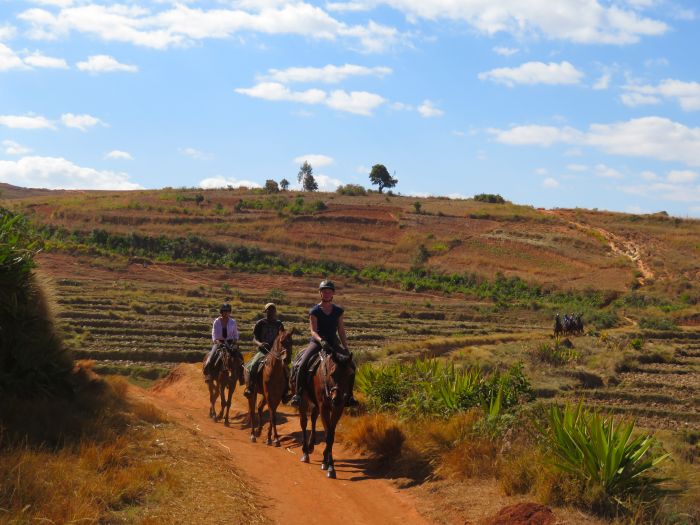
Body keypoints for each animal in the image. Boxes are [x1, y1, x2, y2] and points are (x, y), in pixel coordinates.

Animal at [296, 348, 356, 478]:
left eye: (350, 375)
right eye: (332, 374)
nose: (337, 399)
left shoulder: (337, 408)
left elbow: (331, 434)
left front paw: (326, 461)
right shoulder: (324, 407)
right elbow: (328, 434)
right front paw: (330, 466)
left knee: (313, 418)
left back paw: (311, 446)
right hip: (303, 399)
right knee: (303, 422)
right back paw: (305, 452)